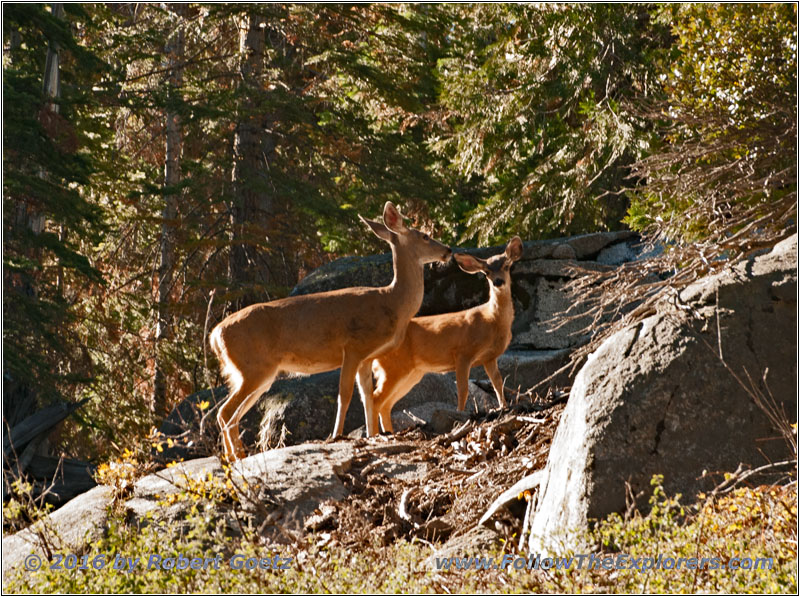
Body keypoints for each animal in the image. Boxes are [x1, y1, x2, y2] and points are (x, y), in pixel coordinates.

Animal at [209, 203, 454, 458]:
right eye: (424, 236)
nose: (448, 250)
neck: (393, 302)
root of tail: (214, 335)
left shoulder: (367, 357)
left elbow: (367, 397)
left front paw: (373, 435)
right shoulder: (353, 347)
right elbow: (344, 395)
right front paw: (337, 435)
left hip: (257, 373)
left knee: (229, 414)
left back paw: (233, 457)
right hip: (253, 367)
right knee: (226, 412)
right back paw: (236, 457)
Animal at [370, 234, 524, 434]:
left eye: (506, 265)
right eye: (487, 272)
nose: (498, 282)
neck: (492, 320)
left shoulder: (489, 357)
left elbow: (498, 384)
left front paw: (504, 407)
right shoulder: (463, 352)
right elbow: (463, 389)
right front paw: (460, 415)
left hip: (410, 372)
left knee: (386, 404)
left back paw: (389, 432)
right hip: (394, 366)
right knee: (375, 399)